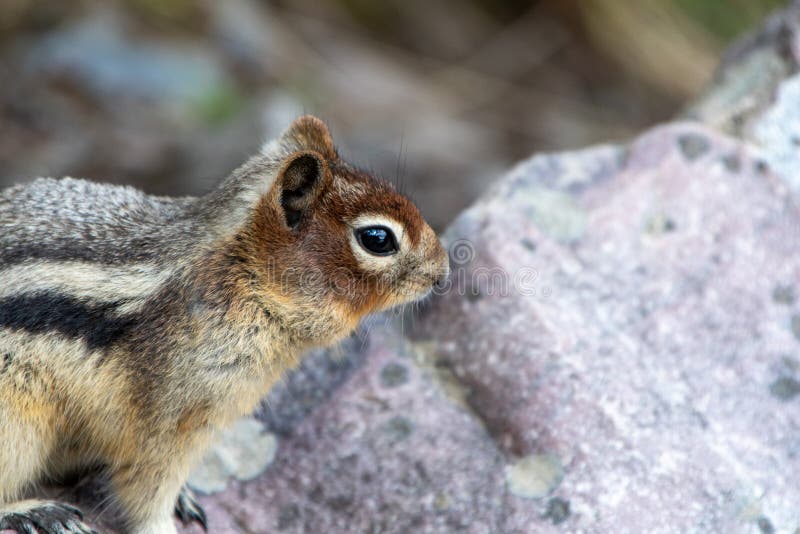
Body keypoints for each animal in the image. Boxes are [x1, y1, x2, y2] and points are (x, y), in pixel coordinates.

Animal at [0, 117, 446, 534]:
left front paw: (183, 497)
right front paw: (163, 523)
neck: (244, 276)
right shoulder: (169, 417)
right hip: (15, 420)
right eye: (377, 239)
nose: (441, 274)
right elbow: (146, 489)